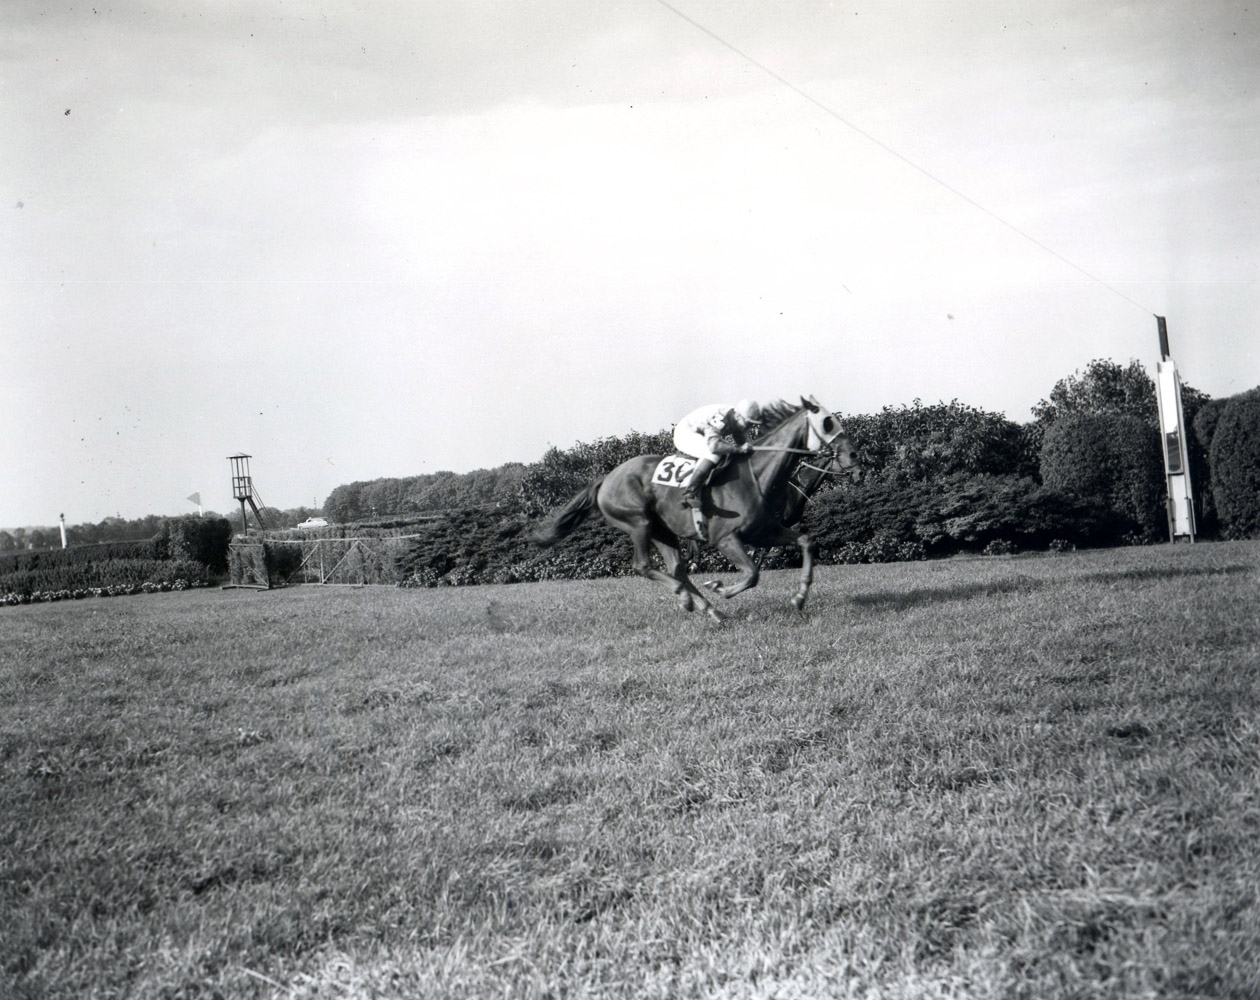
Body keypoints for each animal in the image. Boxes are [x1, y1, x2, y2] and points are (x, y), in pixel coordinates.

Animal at [531, 395, 856, 614]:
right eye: (828, 422)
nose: (854, 456)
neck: (757, 476)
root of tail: (606, 479)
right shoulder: (726, 539)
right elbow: (753, 573)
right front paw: (721, 588)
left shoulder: (764, 531)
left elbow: (805, 542)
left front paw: (800, 597)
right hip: (638, 522)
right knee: (643, 566)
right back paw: (690, 599)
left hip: (663, 530)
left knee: (677, 569)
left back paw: (709, 609)